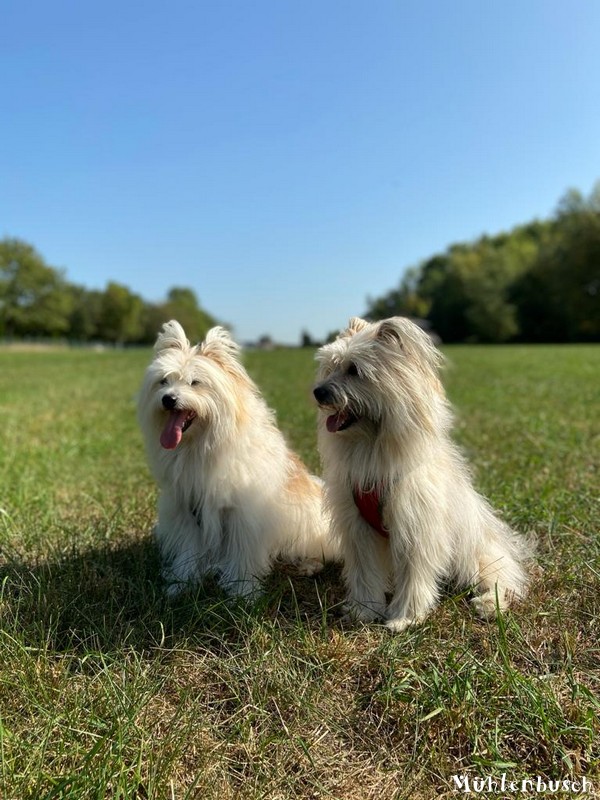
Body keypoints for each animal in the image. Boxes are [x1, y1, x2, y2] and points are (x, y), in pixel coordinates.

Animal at [139, 322, 338, 596]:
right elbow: (189, 551)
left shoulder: (243, 515)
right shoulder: (187, 512)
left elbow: (242, 554)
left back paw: (308, 565)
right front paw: (181, 583)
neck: (200, 445)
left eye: (195, 382)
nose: (168, 399)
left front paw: (242, 592)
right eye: (163, 381)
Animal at [312, 314, 532, 632]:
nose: (318, 392)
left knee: (506, 578)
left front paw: (404, 617)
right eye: (329, 367)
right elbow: (365, 572)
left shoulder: (415, 527)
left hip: (476, 556)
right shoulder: (358, 528)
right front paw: (364, 610)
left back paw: (490, 604)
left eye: (354, 370)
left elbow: (413, 577)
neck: (373, 446)